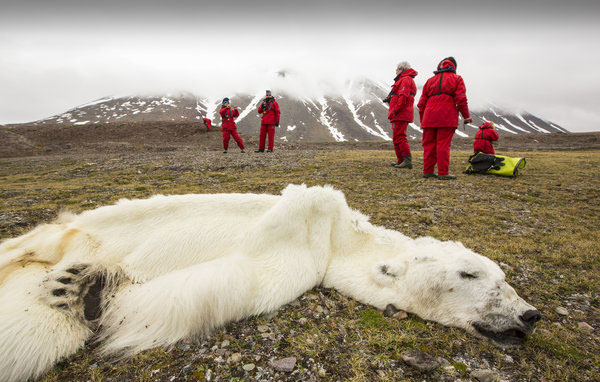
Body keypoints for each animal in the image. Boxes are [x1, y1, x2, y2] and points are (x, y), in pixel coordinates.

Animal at [0, 184, 540, 380]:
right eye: (470, 273)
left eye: (503, 276)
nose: (530, 314)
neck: (337, 238)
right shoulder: (306, 232)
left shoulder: (300, 263)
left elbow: (210, 287)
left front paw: (91, 291)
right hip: (69, 229)